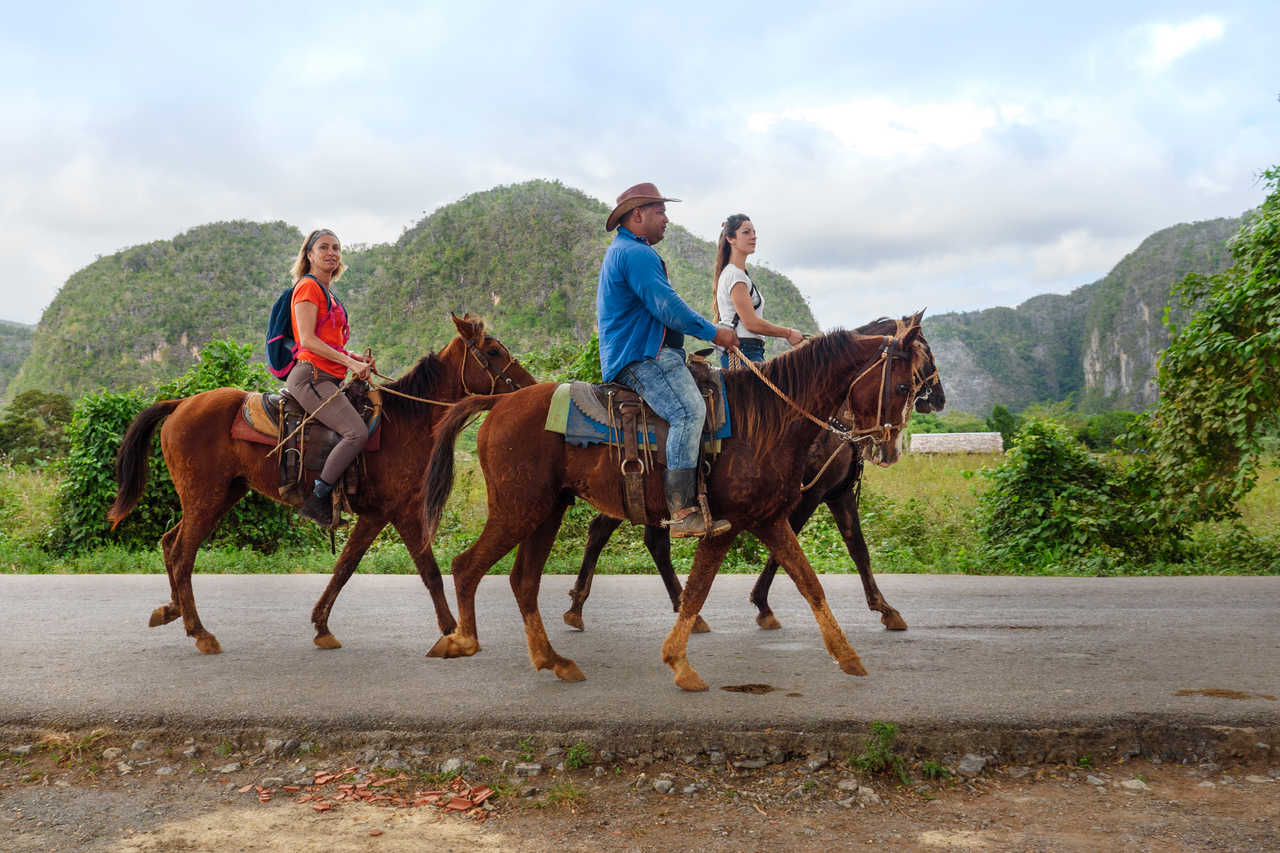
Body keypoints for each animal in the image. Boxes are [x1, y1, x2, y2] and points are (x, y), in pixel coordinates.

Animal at [102, 312, 535, 650]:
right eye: (492, 352)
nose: (530, 387)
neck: (406, 422)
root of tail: (180, 404)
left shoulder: (378, 515)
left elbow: (345, 566)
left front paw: (322, 624)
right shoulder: (398, 512)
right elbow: (425, 571)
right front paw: (453, 631)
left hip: (220, 495)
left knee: (169, 542)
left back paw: (172, 610)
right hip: (205, 497)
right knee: (181, 554)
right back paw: (199, 630)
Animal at [565, 312, 947, 630]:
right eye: (925, 358)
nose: (939, 399)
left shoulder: (836, 495)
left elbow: (858, 547)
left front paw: (884, 607)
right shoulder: (808, 495)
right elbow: (788, 547)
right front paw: (762, 604)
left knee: (632, 536)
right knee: (616, 533)